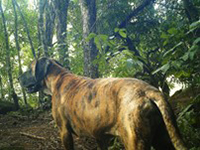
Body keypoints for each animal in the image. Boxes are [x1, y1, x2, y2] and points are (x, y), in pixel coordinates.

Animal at [18, 57, 187, 150]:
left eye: (28, 69)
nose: (18, 78)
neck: (58, 78)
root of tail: (148, 90)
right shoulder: (101, 136)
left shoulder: (64, 132)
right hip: (162, 139)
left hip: (134, 141)